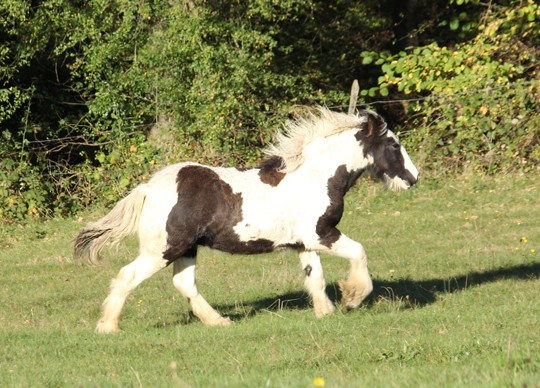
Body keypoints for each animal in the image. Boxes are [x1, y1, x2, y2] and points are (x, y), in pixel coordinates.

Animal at [73, 107, 418, 334]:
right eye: (393, 145)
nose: (413, 178)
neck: (317, 177)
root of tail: (147, 188)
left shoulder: (304, 243)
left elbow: (315, 278)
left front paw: (325, 312)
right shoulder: (321, 233)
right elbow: (359, 252)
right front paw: (351, 298)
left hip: (186, 248)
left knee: (184, 283)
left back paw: (219, 321)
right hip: (164, 249)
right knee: (127, 276)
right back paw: (108, 327)